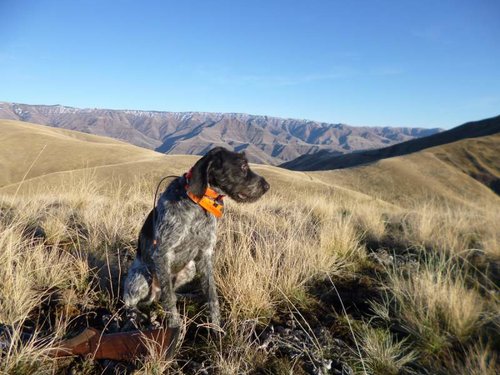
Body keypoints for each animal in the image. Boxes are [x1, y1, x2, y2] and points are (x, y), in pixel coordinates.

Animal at [122, 148, 270, 328]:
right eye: (243, 166)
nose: (267, 186)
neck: (198, 204)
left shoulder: (205, 254)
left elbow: (212, 295)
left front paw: (216, 328)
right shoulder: (162, 254)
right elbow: (169, 300)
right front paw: (175, 327)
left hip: (189, 269)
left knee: (169, 293)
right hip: (141, 277)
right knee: (132, 302)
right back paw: (135, 314)